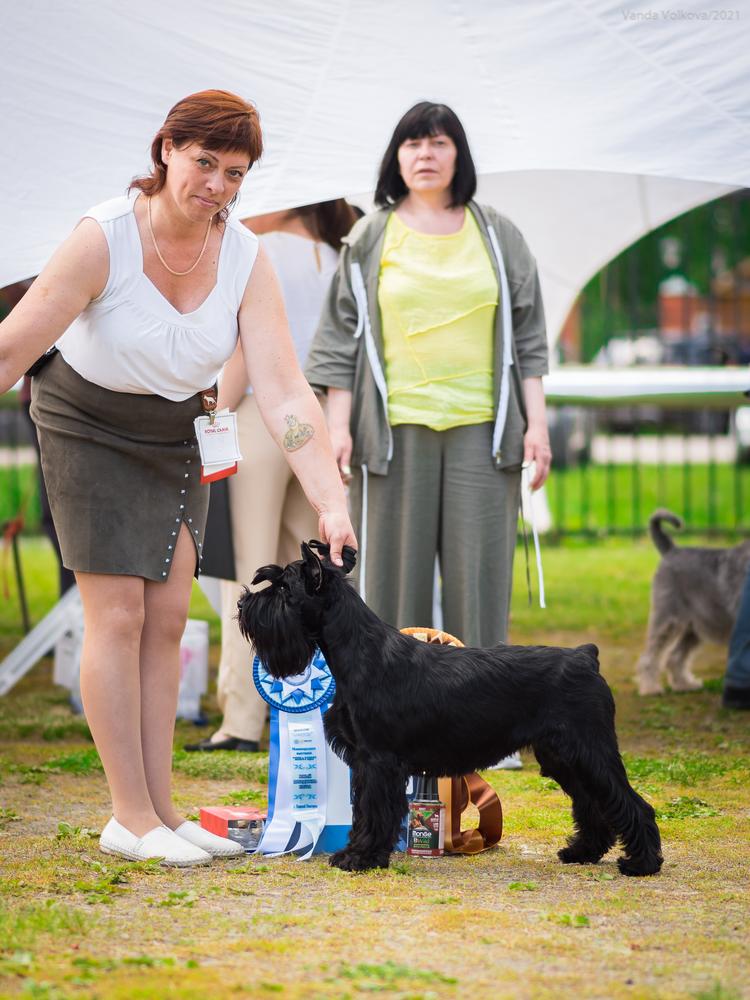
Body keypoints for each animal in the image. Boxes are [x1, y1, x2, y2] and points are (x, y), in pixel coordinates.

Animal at [239, 544, 664, 880]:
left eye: (283, 587)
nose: (243, 603)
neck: (359, 650)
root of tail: (585, 656)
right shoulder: (365, 762)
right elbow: (364, 812)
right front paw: (357, 852)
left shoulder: (378, 761)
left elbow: (376, 812)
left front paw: (360, 857)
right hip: (564, 758)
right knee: (592, 803)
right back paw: (582, 852)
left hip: (591, 751)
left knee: (631, 803)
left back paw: (641, 863)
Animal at [636, 508, 750, 696]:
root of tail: (671, 550)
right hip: (668, 620)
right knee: (650, 656)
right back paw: (650, 688)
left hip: (694, 628)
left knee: (675, 656)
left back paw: (684, 684)